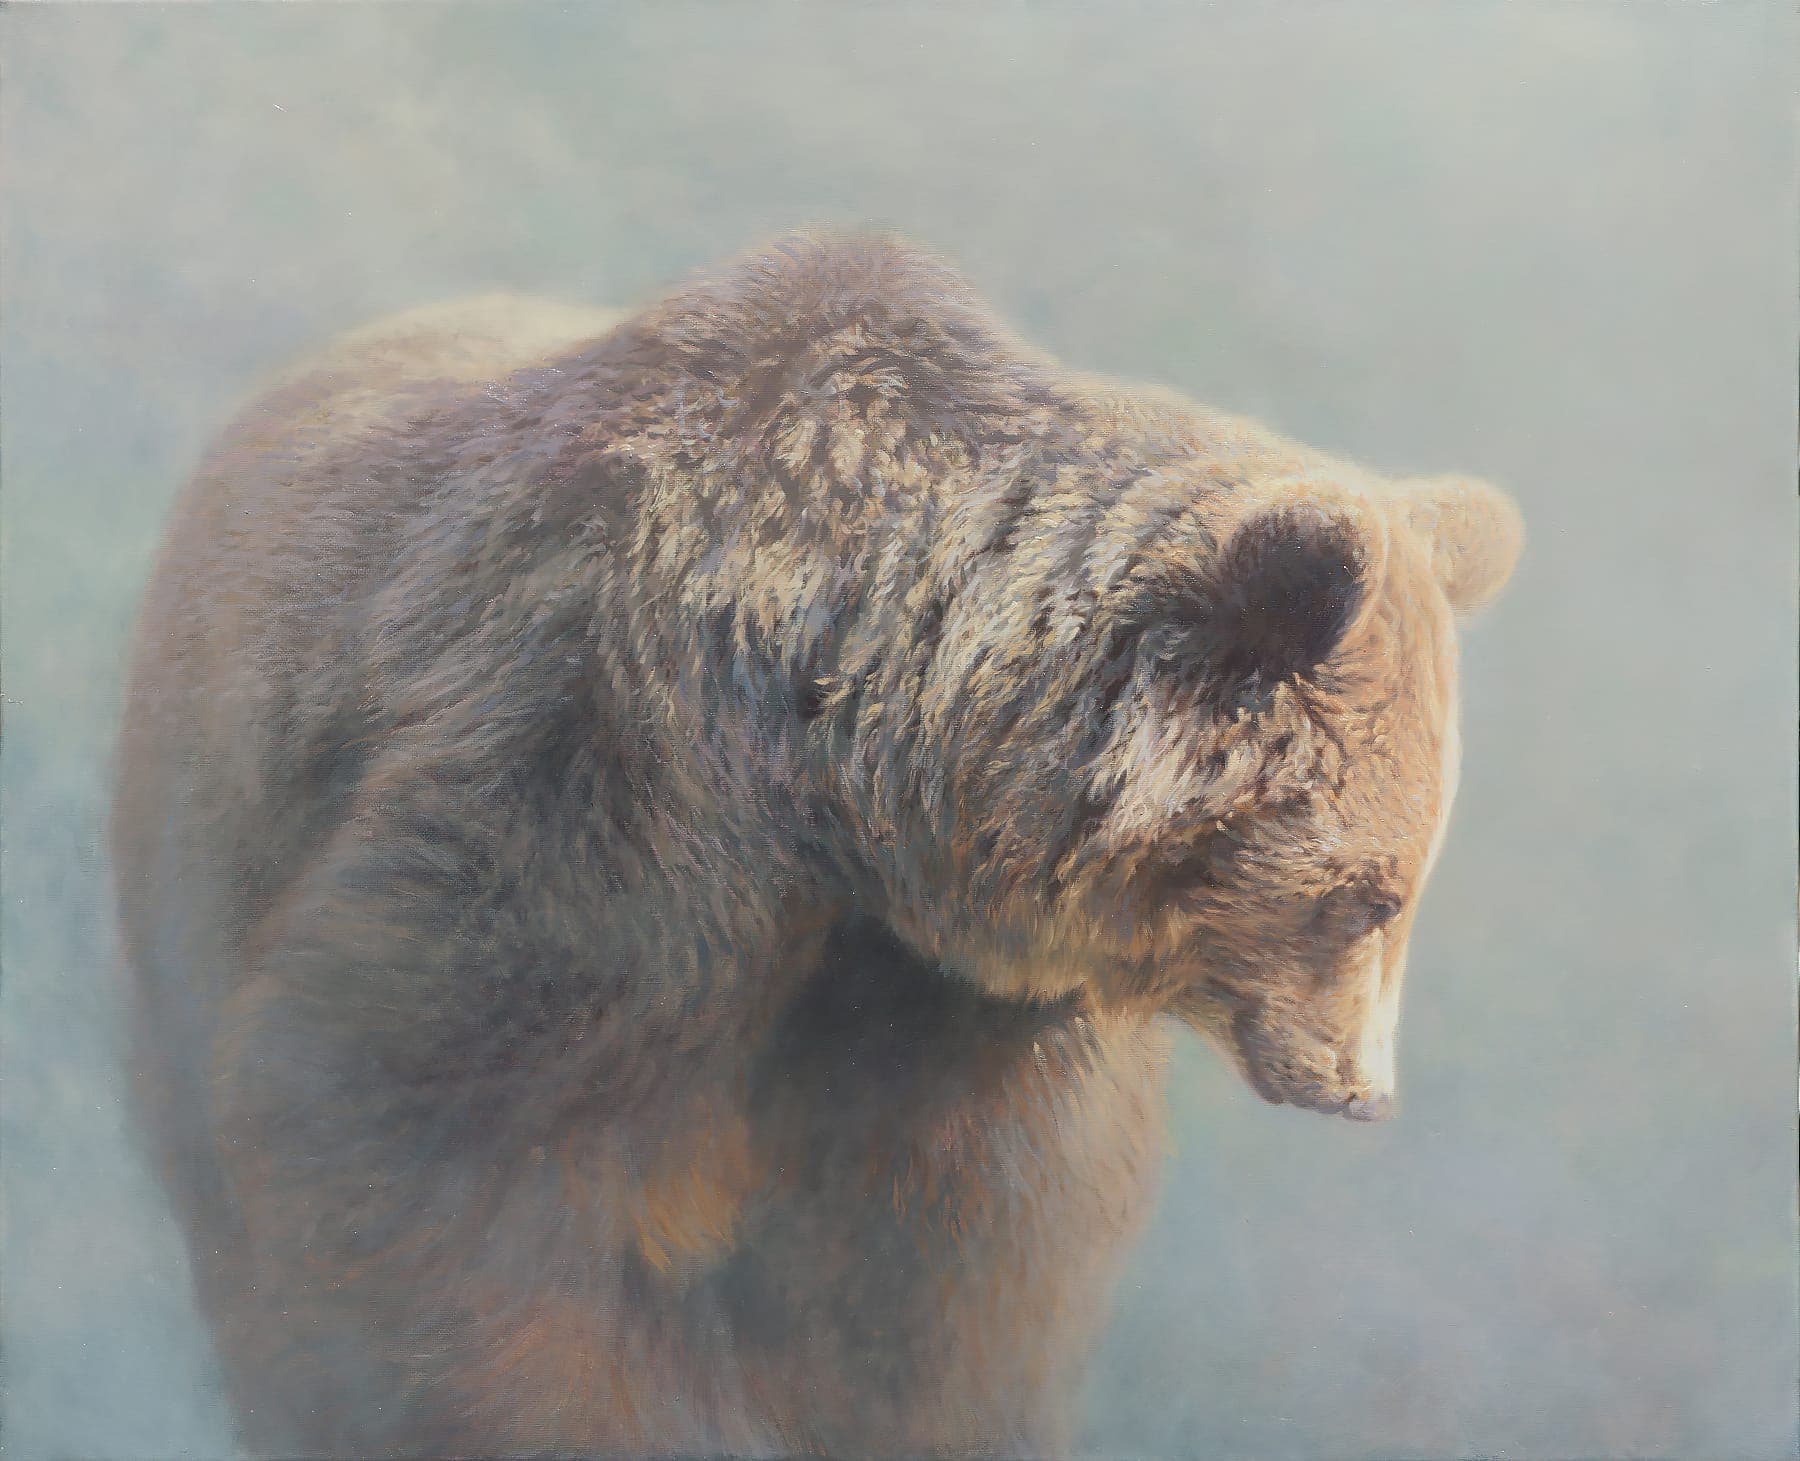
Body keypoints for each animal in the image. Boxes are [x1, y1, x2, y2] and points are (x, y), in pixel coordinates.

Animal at [112, 231, 1521, 1458]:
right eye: (1372, 896)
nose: (1359, 1090)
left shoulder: (934, 1011)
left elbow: (935, 1280)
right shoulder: (605, 790)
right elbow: (419, 1110)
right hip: (207, 817)